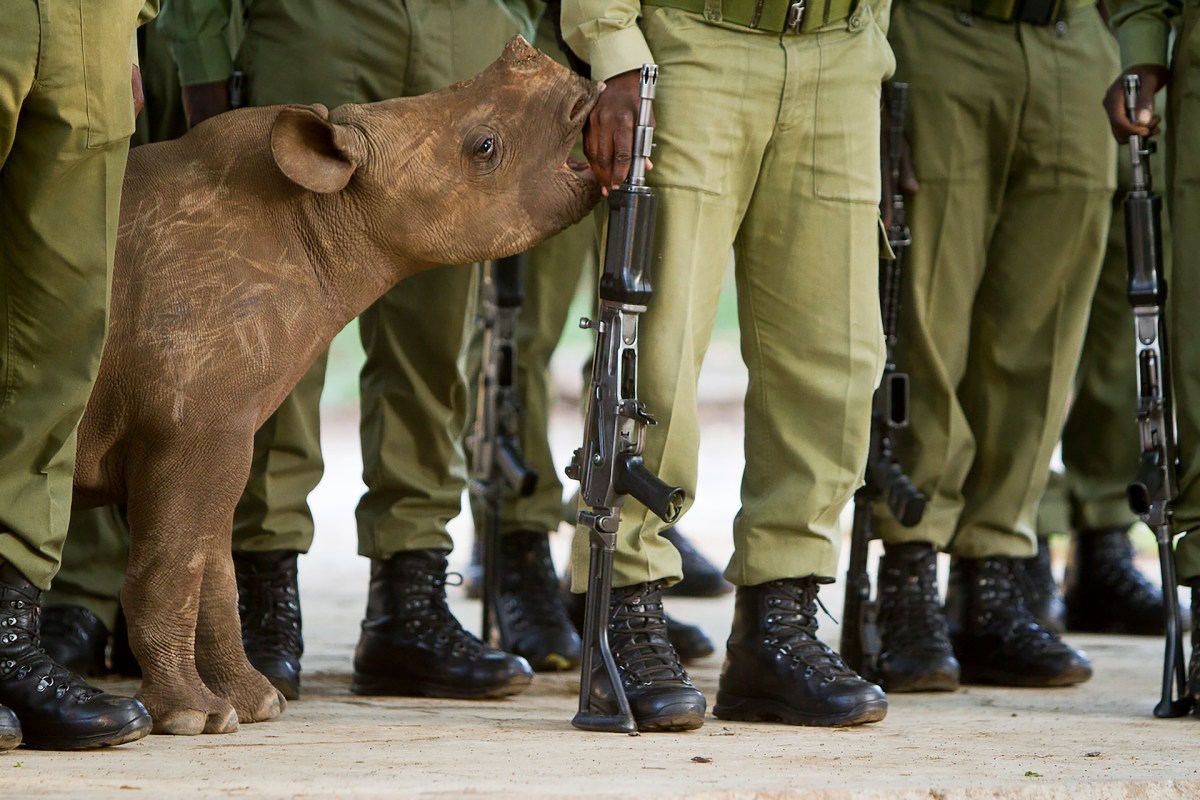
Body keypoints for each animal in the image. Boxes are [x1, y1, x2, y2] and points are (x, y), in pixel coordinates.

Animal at [69, 38, 600, 738]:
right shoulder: (186, 427)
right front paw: (192, 717)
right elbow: (173, 566)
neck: (322, 211)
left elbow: (210, 565)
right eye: (485, 147)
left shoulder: (217, 426)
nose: (582, 80)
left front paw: (257, 704)